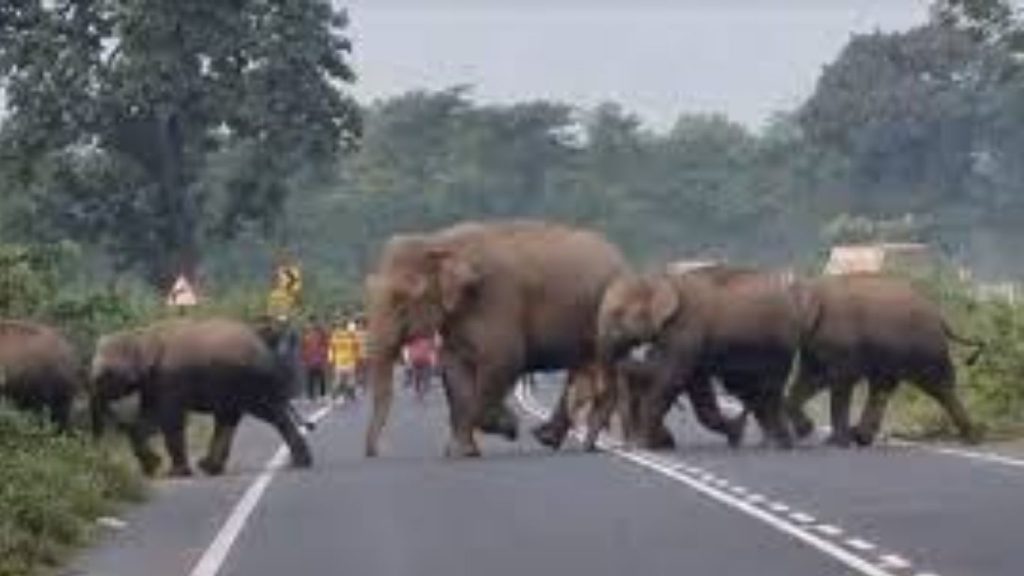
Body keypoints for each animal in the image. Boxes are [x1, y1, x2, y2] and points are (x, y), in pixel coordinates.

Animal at [90, 317, 313, 477]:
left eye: (105, 375)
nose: (100, 456)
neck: (141, 336)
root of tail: (264, 346)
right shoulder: (153, 382)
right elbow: (148, 418)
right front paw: (152, 467)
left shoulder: (170, 378)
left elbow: (169, 419)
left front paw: (175, 473)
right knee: (228, 419)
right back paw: (209, 467)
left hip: (249, 382)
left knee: (270, 414)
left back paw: (301, 462)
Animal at [363, 219, 629, 458]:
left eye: (401, 300)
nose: (372, 453)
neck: (440, 241)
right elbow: (454, 370)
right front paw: (462, 452)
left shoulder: (497, 298)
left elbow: (504, 360)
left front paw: (510, 426)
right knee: (581, 374)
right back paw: (548, 438)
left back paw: (579, 442)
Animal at [594, 266, 803, 451]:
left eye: (617, 313)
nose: (625, 358)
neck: (659, 279)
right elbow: (697, 389)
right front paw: (734, 434)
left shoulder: (685, 329)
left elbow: (671, 379)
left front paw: (644, 445)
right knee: (751, 391)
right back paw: (771, 442)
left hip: (777, 347)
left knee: (766, 391)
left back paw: (778, 444)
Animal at [785, 273, 984, 447]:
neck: (812, 289)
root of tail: (941, 318)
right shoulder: (815, 342)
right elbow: (812, 378)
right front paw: (807, 430)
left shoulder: (840, 342)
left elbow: (837, 381)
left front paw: (834, 442)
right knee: (882, 387)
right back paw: (861, 437)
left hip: (925, 349)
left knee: (939, 386)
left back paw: (973, 438)